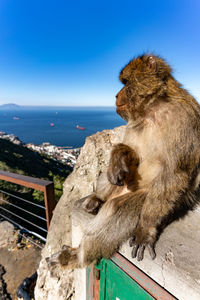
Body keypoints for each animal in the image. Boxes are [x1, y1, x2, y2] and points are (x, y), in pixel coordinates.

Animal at [46, 54, 200, 272]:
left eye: (126, 83)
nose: (116, 95)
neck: (153, 110)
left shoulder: (183, 120)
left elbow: (174, 175)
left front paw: (145, 230)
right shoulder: (136, 125)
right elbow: (130, 154)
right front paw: (119, 157)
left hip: (141, 199)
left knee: (116, 209)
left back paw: (77, 256)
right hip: (121, 184)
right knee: (107, 176)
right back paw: (97, 199)